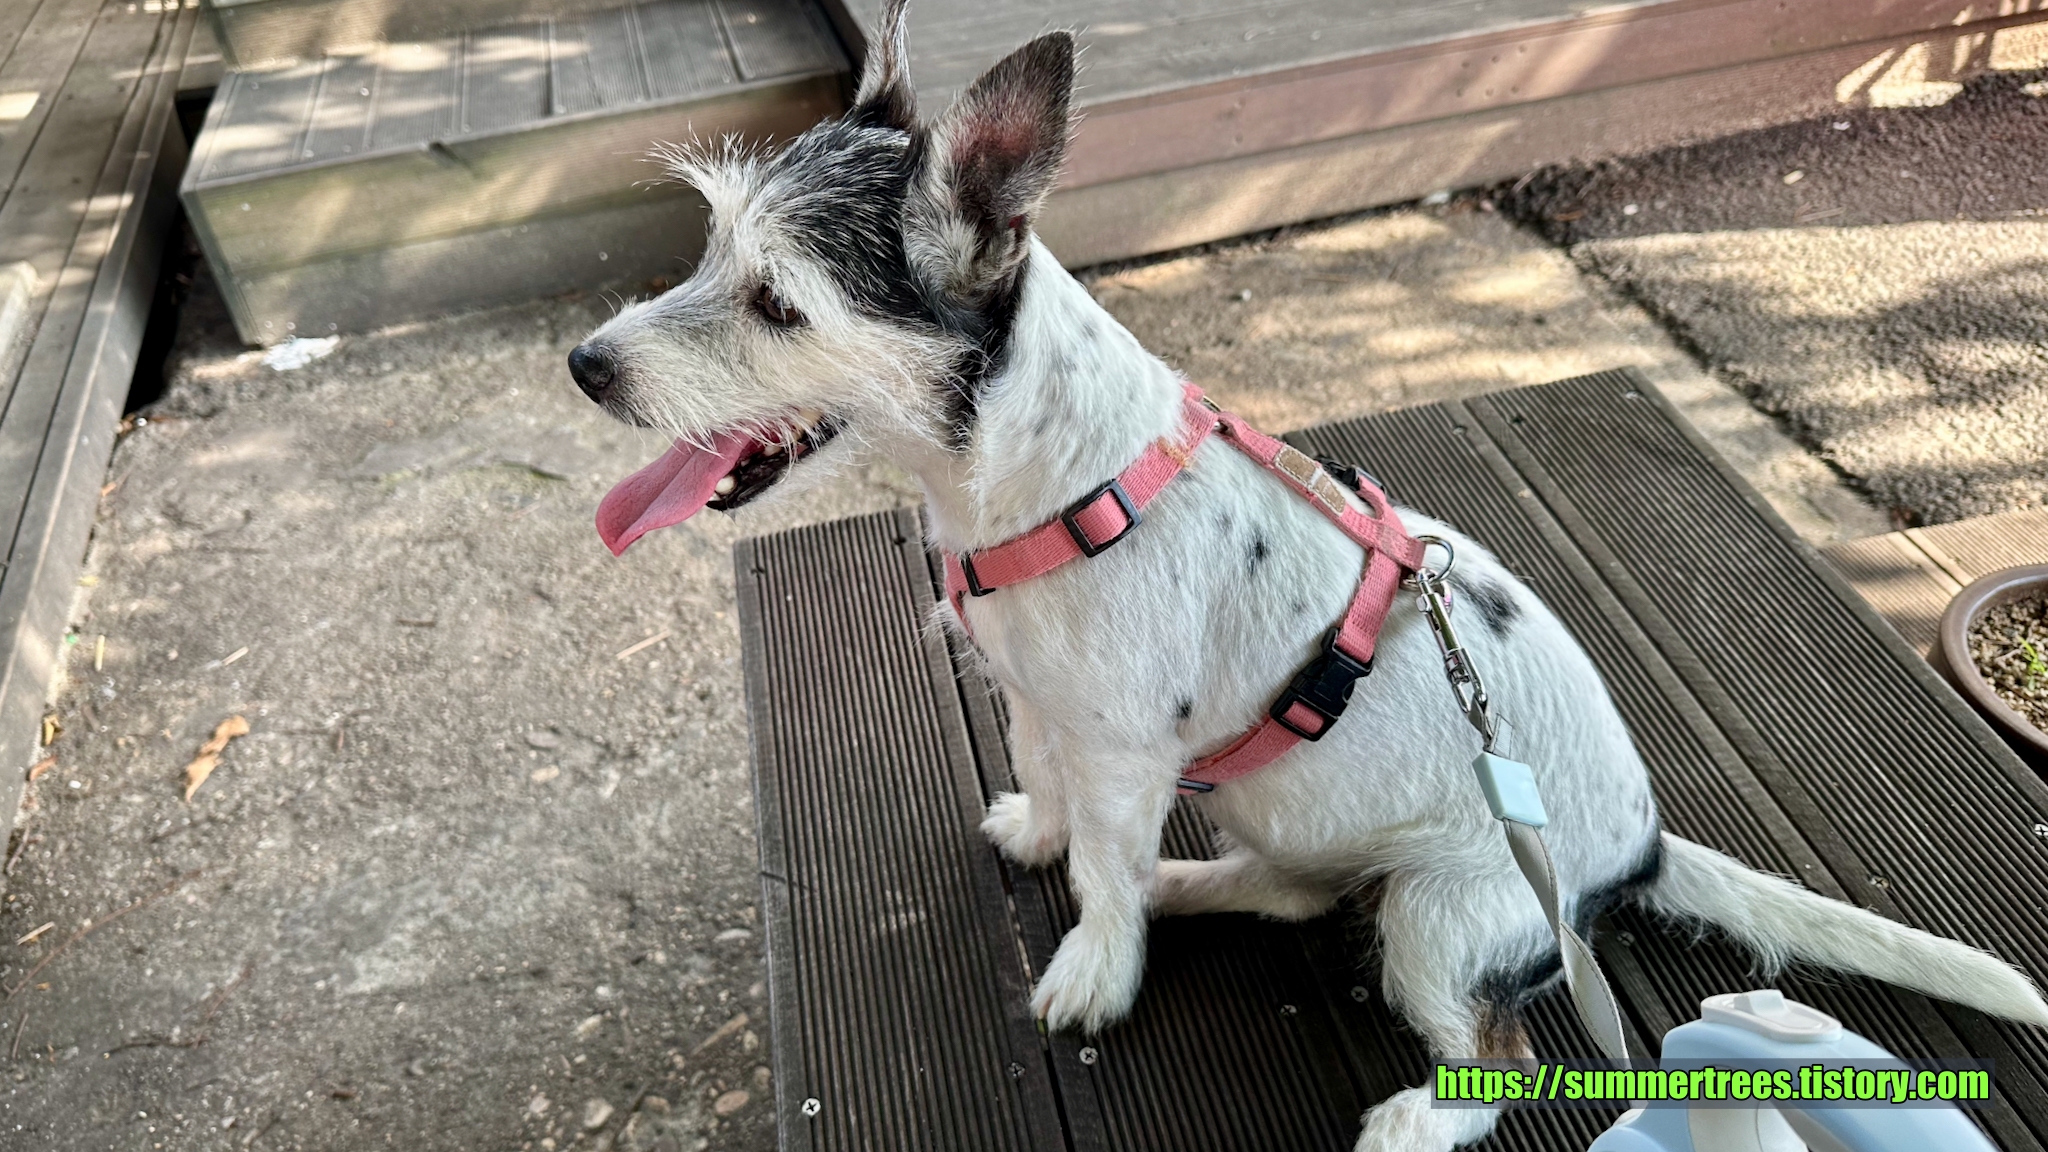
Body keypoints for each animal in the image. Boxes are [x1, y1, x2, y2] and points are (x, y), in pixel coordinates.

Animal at [566, 5, 2048, 1148]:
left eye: (777, 304)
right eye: (709, 253)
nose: (585, 367)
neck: (1039, 479)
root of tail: (1631, 850)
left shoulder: (1122, 746)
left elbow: (1105, 857)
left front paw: (1096, 962)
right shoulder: (1044, 705)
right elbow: (1065, 812)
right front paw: (1049, 845)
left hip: (1445, 921)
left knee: (1497, 1061)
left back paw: (1407, 1111)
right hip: (1296, 815)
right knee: (1289, 888)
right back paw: (1191, 889)